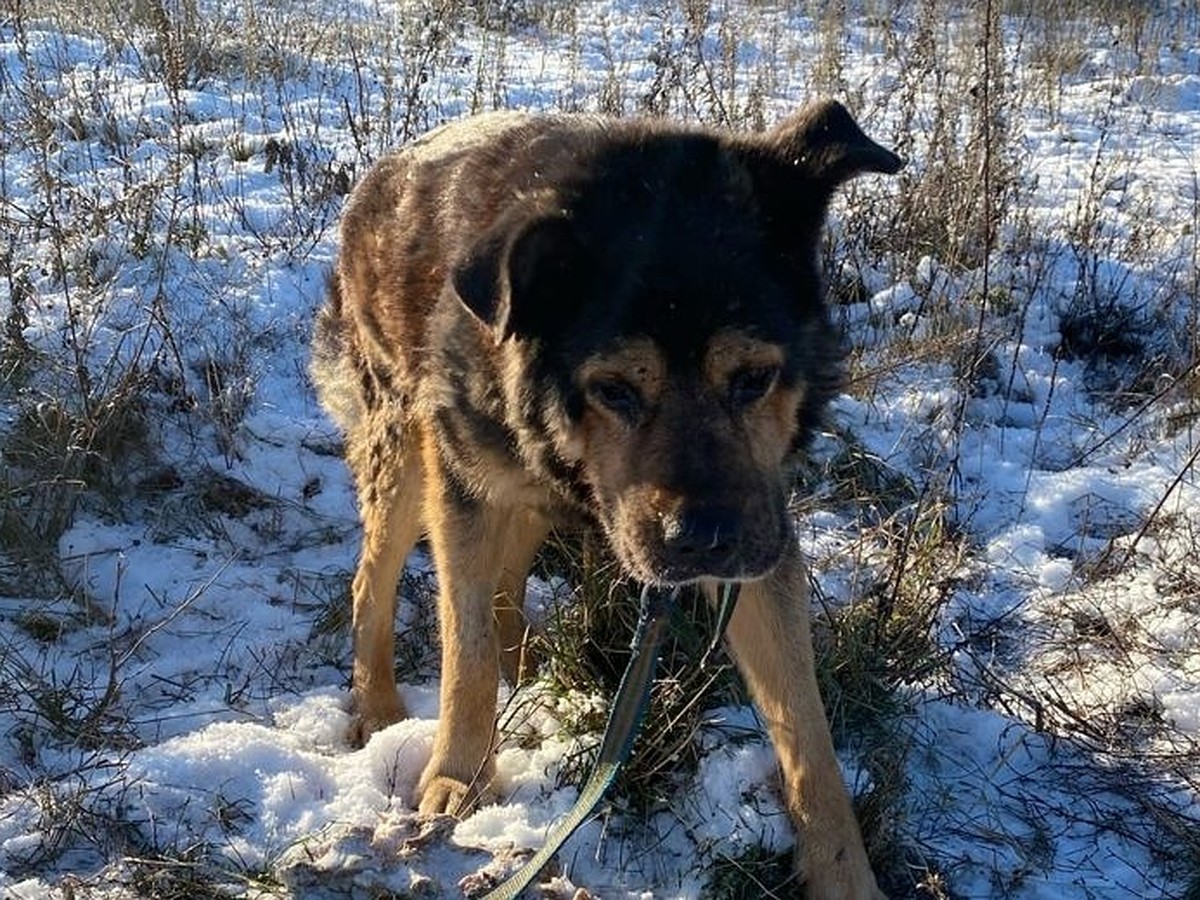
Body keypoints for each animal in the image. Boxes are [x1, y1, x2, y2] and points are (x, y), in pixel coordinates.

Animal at [309, 103, 902, 900]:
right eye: (614, 388)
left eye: (754, 377)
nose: (702, 539)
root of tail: (377, 177)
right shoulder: (462, 485)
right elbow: (464, 647)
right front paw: (458, 782)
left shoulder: (761, 529)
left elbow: (806, 727)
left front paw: (844, 872)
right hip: (405, 451)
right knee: (372, 582)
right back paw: (378, 707)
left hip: (527, 489)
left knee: (507, 582)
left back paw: (528, 668)